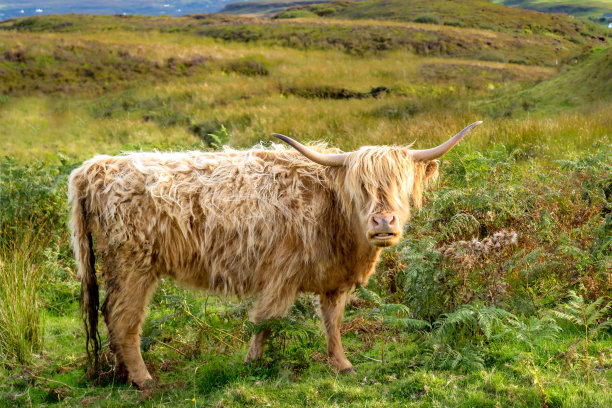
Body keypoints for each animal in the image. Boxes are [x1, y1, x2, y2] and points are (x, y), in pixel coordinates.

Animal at [69, 122, 480, 388]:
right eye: (360, 187)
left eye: (400, 185)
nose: (383, 221)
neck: (333, 213)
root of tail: (95, 167)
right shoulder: (282, 273)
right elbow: (265, 320)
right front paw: (252, 365)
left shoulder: (334, 279)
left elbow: (332, 322)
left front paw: (342, 365)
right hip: (133, 264)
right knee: (124, 319)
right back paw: (143, 380)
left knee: (111, 317)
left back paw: (122, 374)